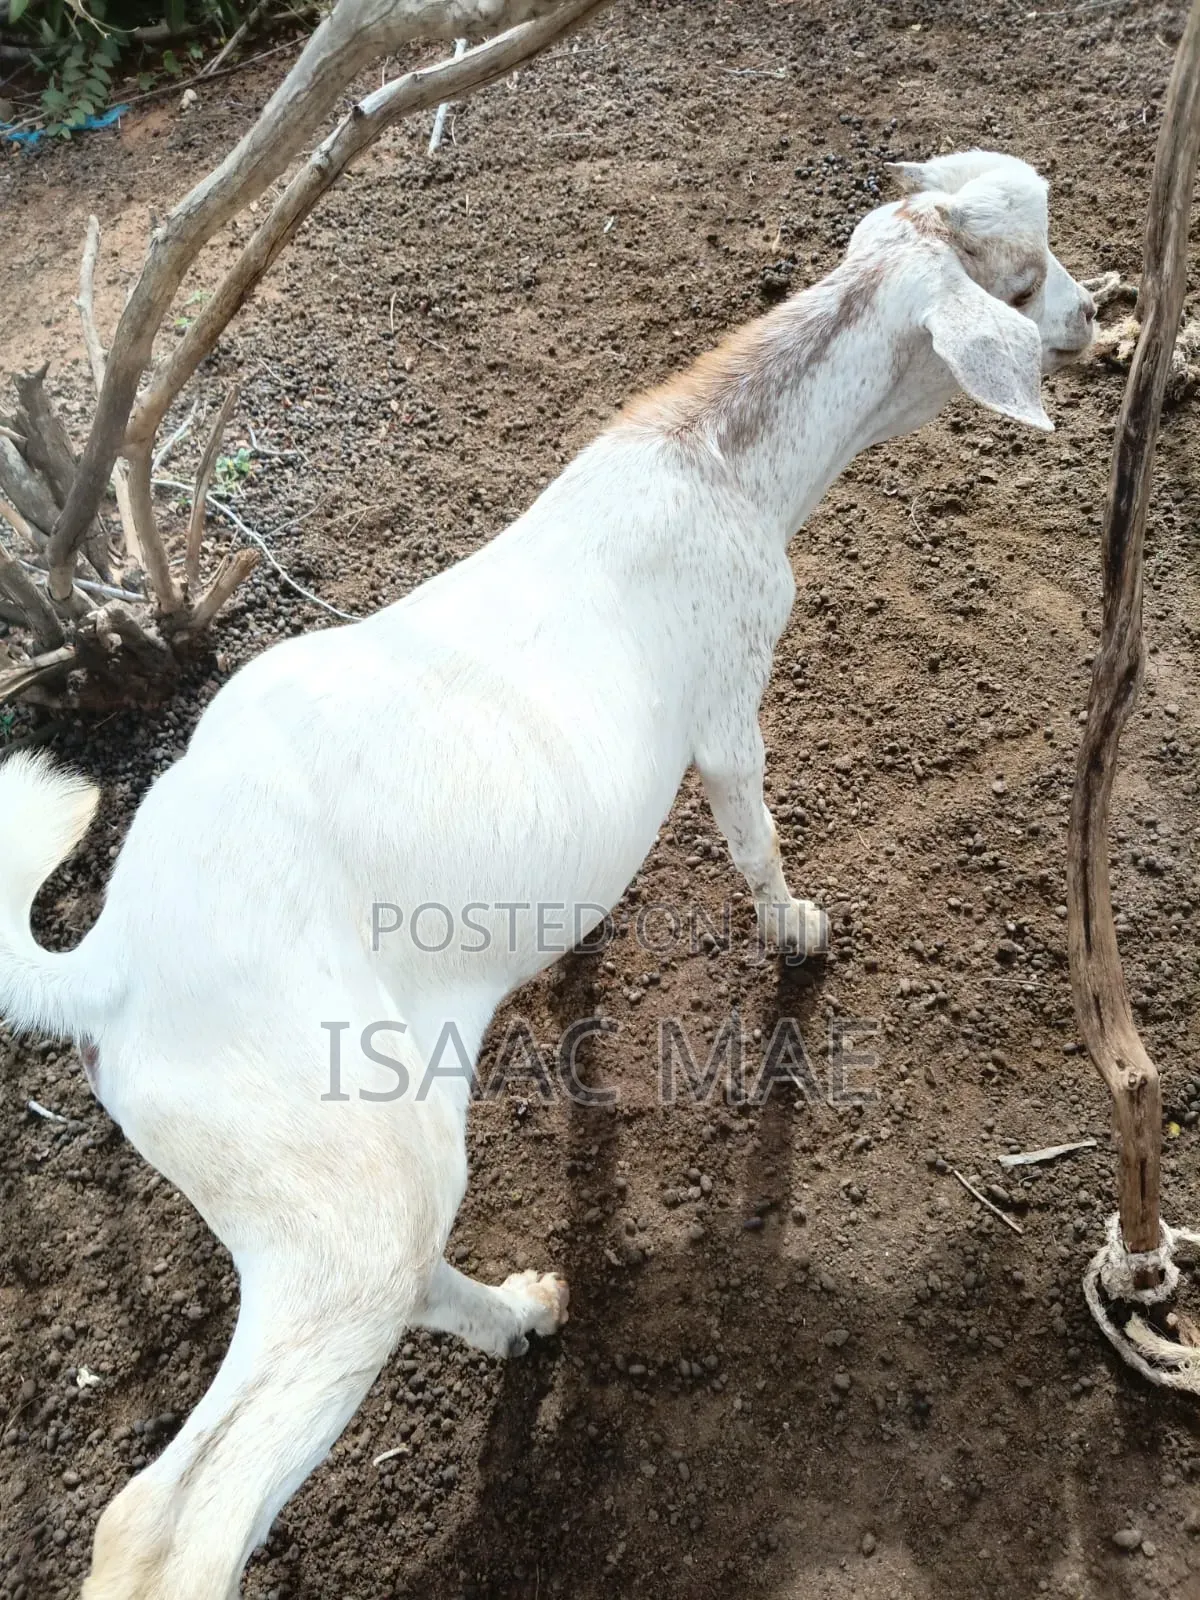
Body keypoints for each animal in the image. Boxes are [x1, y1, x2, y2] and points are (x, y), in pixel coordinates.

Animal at [0, 149, 1094, 1599]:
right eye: (1018, 283)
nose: (1092, 319)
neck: (722, 462)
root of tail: (114, 972)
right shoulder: (727, 696)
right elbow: (753, 830)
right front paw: (799, 932)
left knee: (409, 1275)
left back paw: (523, 1317)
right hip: (331, 1183)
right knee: (168, 1518)